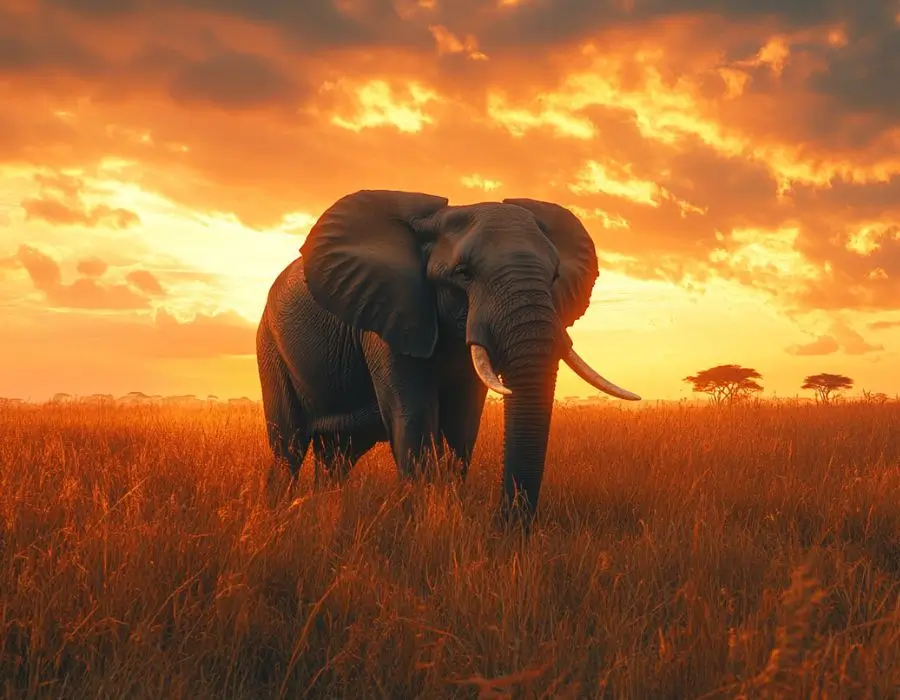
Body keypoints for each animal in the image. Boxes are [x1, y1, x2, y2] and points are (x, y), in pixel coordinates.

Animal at [256, 189, 644, 528]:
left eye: (555, 276)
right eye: (463, 274)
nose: (502, 525)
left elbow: (463, 422)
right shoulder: (391, 315)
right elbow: (414, 417)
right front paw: (423, 527)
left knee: (336, 456)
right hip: (270, 347)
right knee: (288, 447)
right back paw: (278, 517)